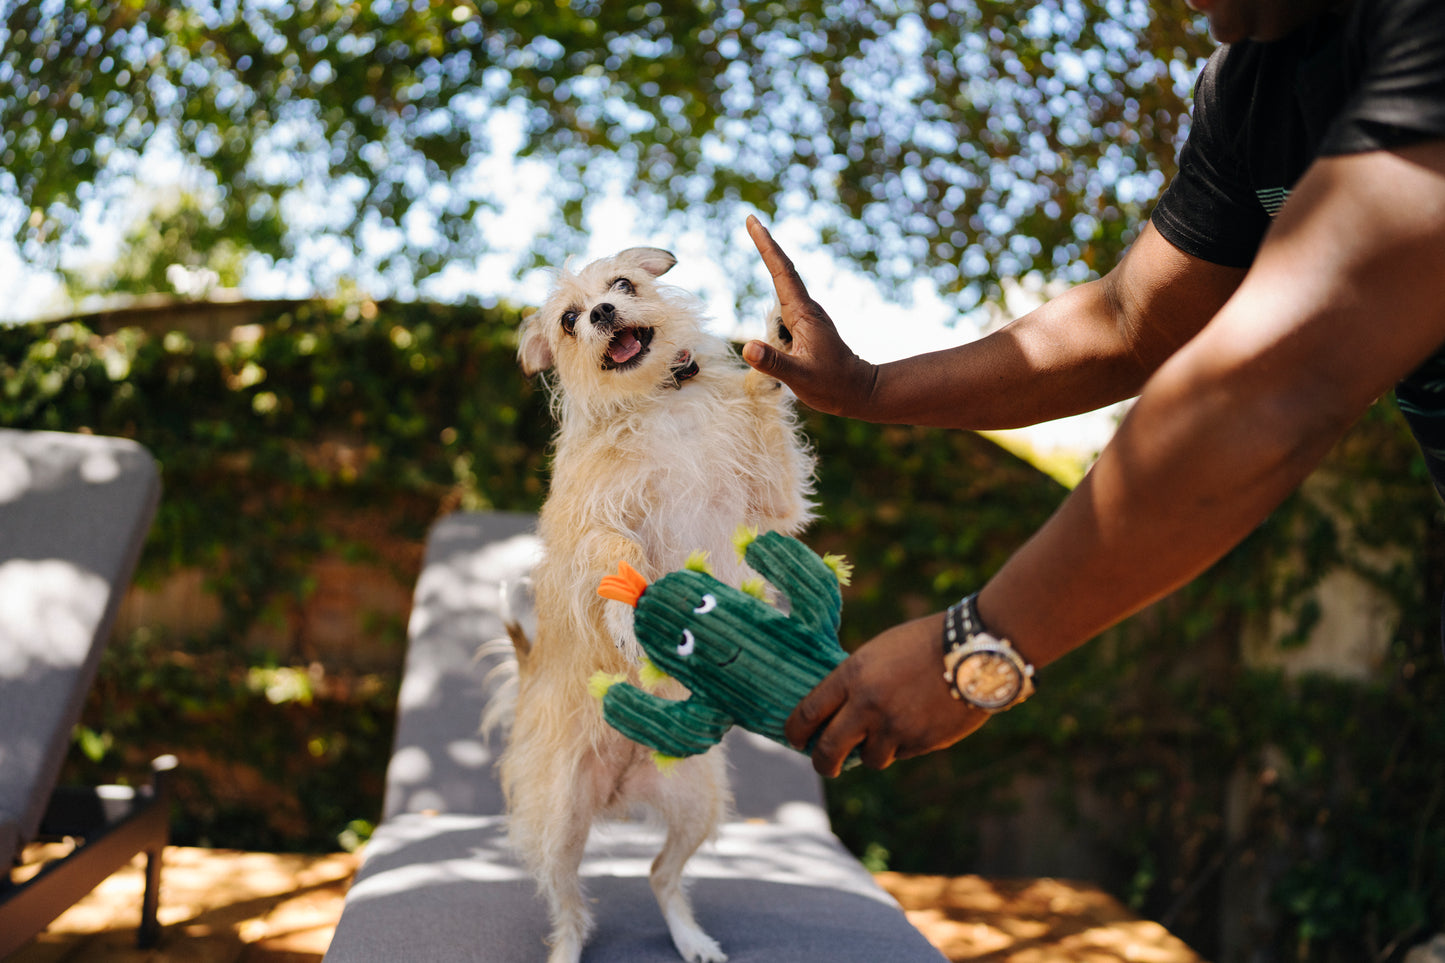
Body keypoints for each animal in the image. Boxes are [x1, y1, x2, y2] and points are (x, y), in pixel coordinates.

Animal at [494, 244, 814, 954]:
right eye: (569, 320)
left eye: (623, 284)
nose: (602, 312)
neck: (660, 403)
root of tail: (619, 789)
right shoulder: (593, 527)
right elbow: (621, 552)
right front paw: (627, 618)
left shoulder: (769, 500)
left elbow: (766, 413)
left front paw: (778, 345)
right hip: (558, 820)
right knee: (568, 904)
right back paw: (566, 951)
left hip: (695, 802)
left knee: (660, 875)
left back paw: (692, 940)